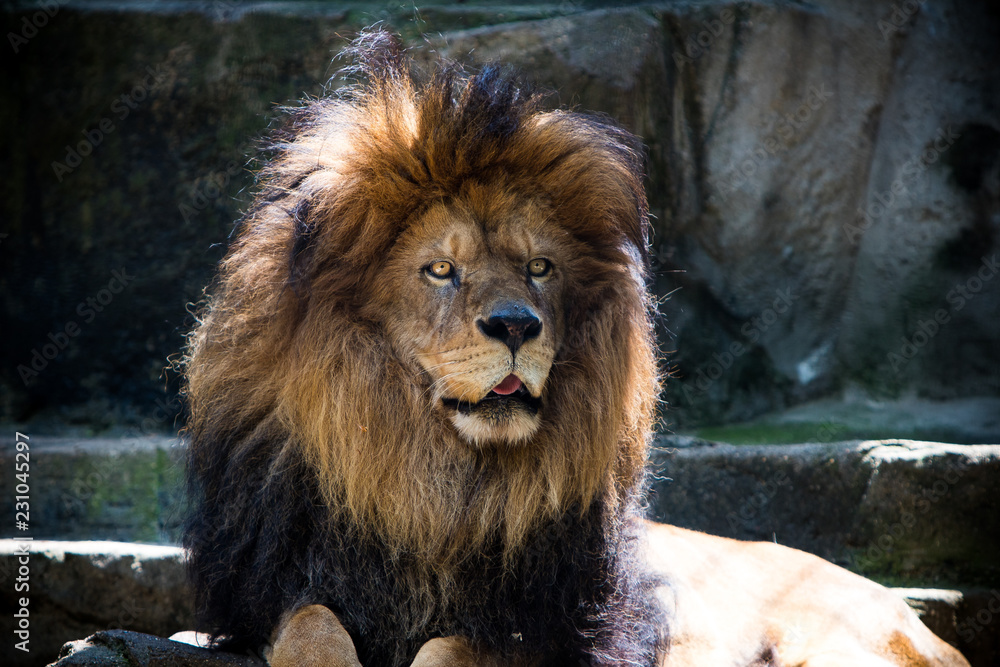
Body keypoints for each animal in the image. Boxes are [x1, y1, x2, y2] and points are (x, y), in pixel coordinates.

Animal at [182, 32, 969, 667]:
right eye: (441, 268)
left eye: (540, 267)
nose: (515, 325)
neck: (434, 489)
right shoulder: (269, 596)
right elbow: (310, 624)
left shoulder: (562, 630)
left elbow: (453, 647)